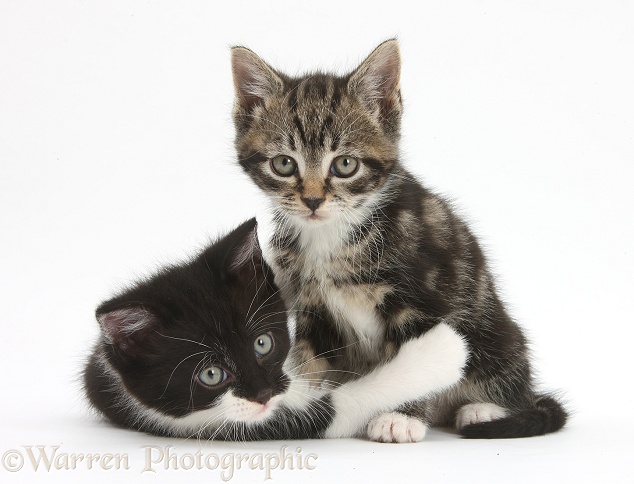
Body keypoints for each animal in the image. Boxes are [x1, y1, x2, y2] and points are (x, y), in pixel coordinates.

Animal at [84, 217, 466, 440]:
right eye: (210, 374)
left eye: (262, 344)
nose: (264, 393)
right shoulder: (225, 424)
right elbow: (351, 402)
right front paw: (442, 350)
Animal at [230, 40, 564, 442]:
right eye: (283, 164)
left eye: (345, 165)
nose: (312, 200)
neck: (333, 235)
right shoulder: (312, 305)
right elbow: (310, 360)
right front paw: (299, 405)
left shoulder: (422, 301)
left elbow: (422, 364)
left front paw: (401, 417)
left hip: (494, 330)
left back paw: (482, 409)